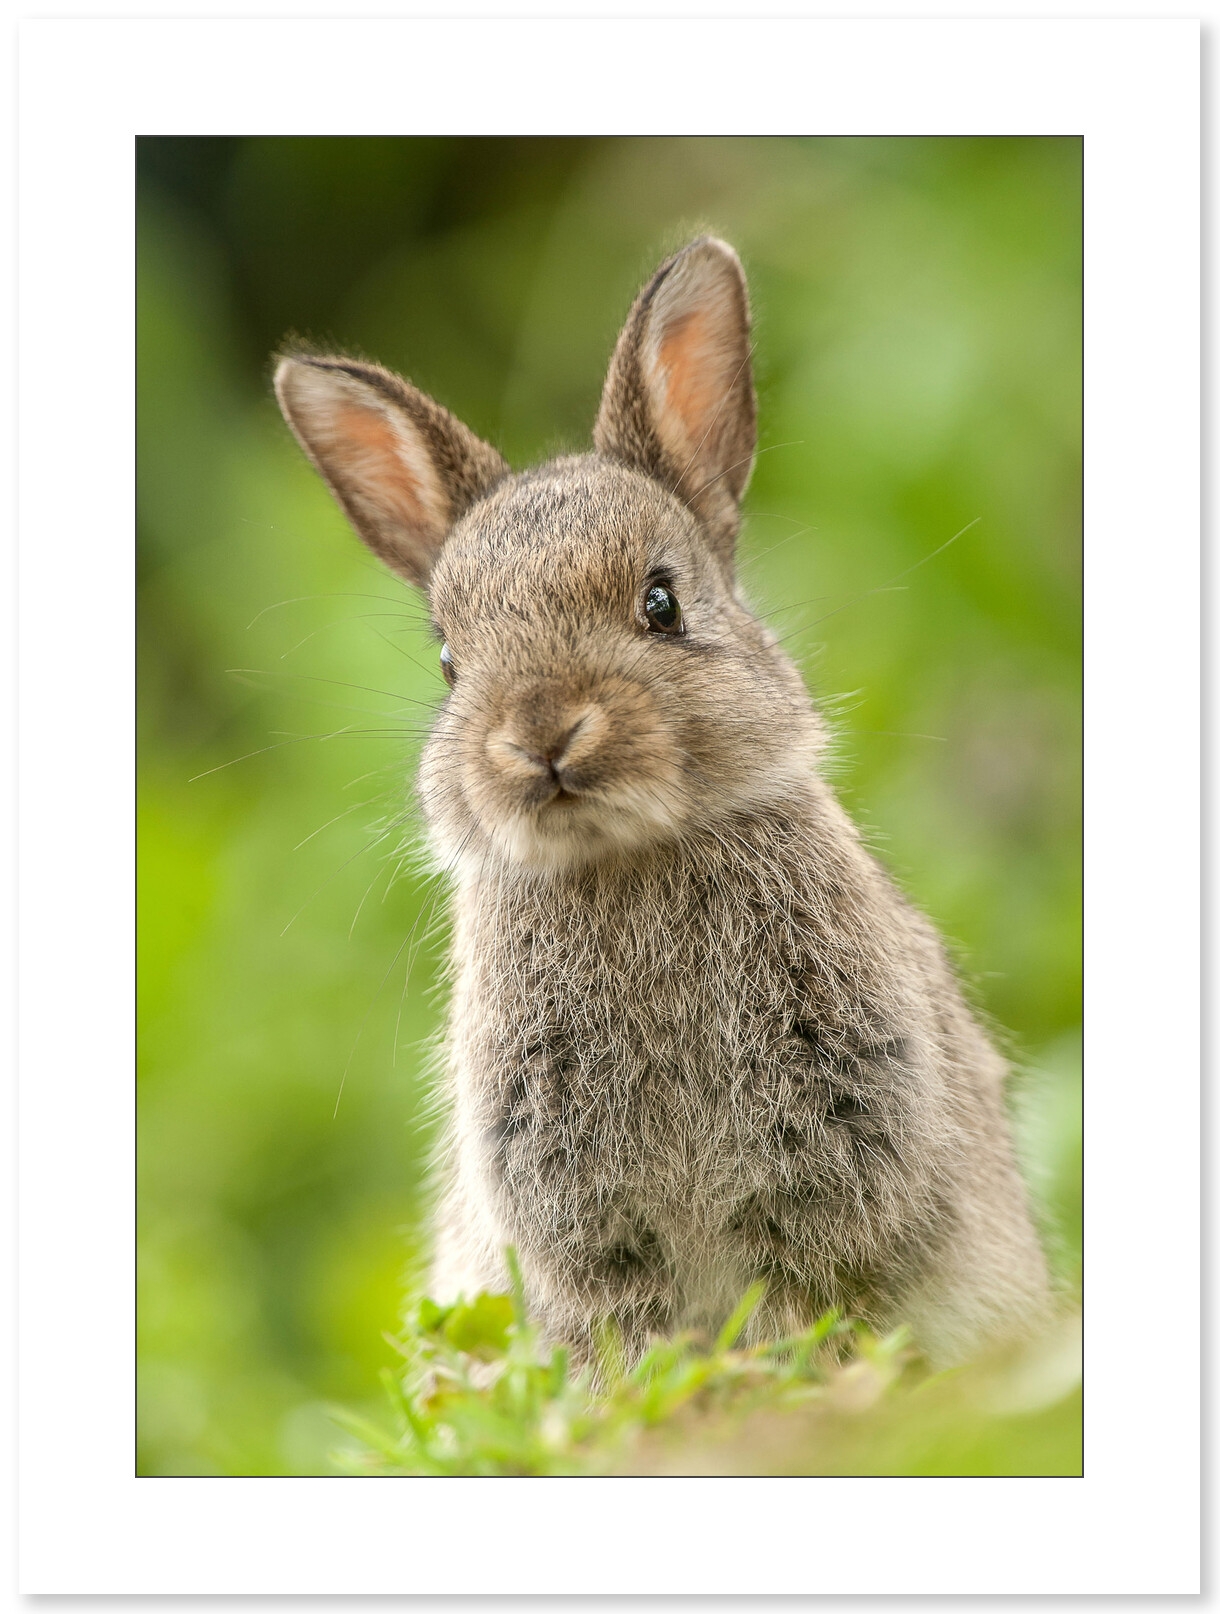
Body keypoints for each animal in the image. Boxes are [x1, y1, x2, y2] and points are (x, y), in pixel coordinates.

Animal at [274, 236, 1052, 1369]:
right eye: (450, 659)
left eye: (661, 601)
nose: (542, 735)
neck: (625, 857)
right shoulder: (578, 1215)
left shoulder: (830, 1152)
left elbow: (795, 1300)